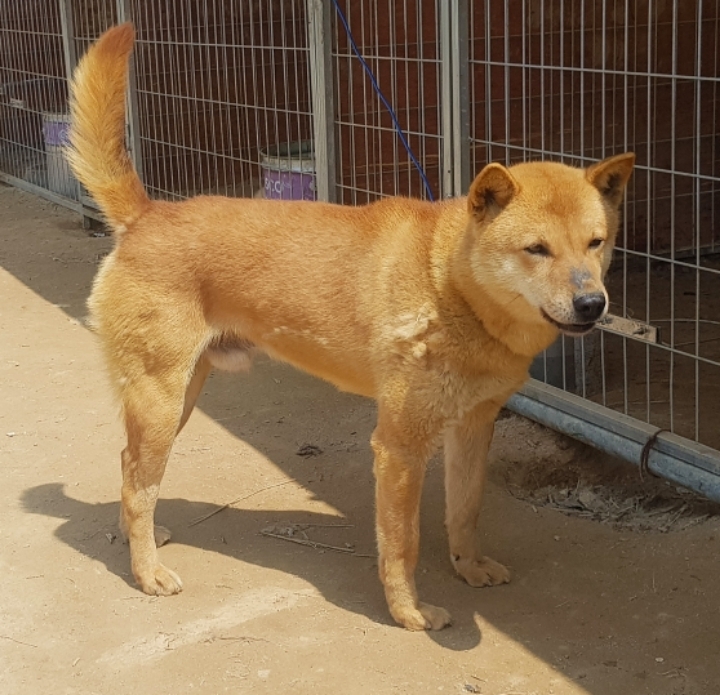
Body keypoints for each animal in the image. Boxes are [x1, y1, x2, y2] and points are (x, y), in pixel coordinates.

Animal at [67, 24, 634, 631]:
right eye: (536, 249)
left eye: (596, 243)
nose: (591, 304)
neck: (450, 285)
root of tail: (147, 216)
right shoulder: (399, 447)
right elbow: (402, 543)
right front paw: (408, 611)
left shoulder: (473, 427)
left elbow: (465, 511)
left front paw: (469, 566)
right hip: (162, 400)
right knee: (138, 482)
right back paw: (146, 571)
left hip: (180, 399)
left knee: (131, 470)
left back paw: (143, 541)